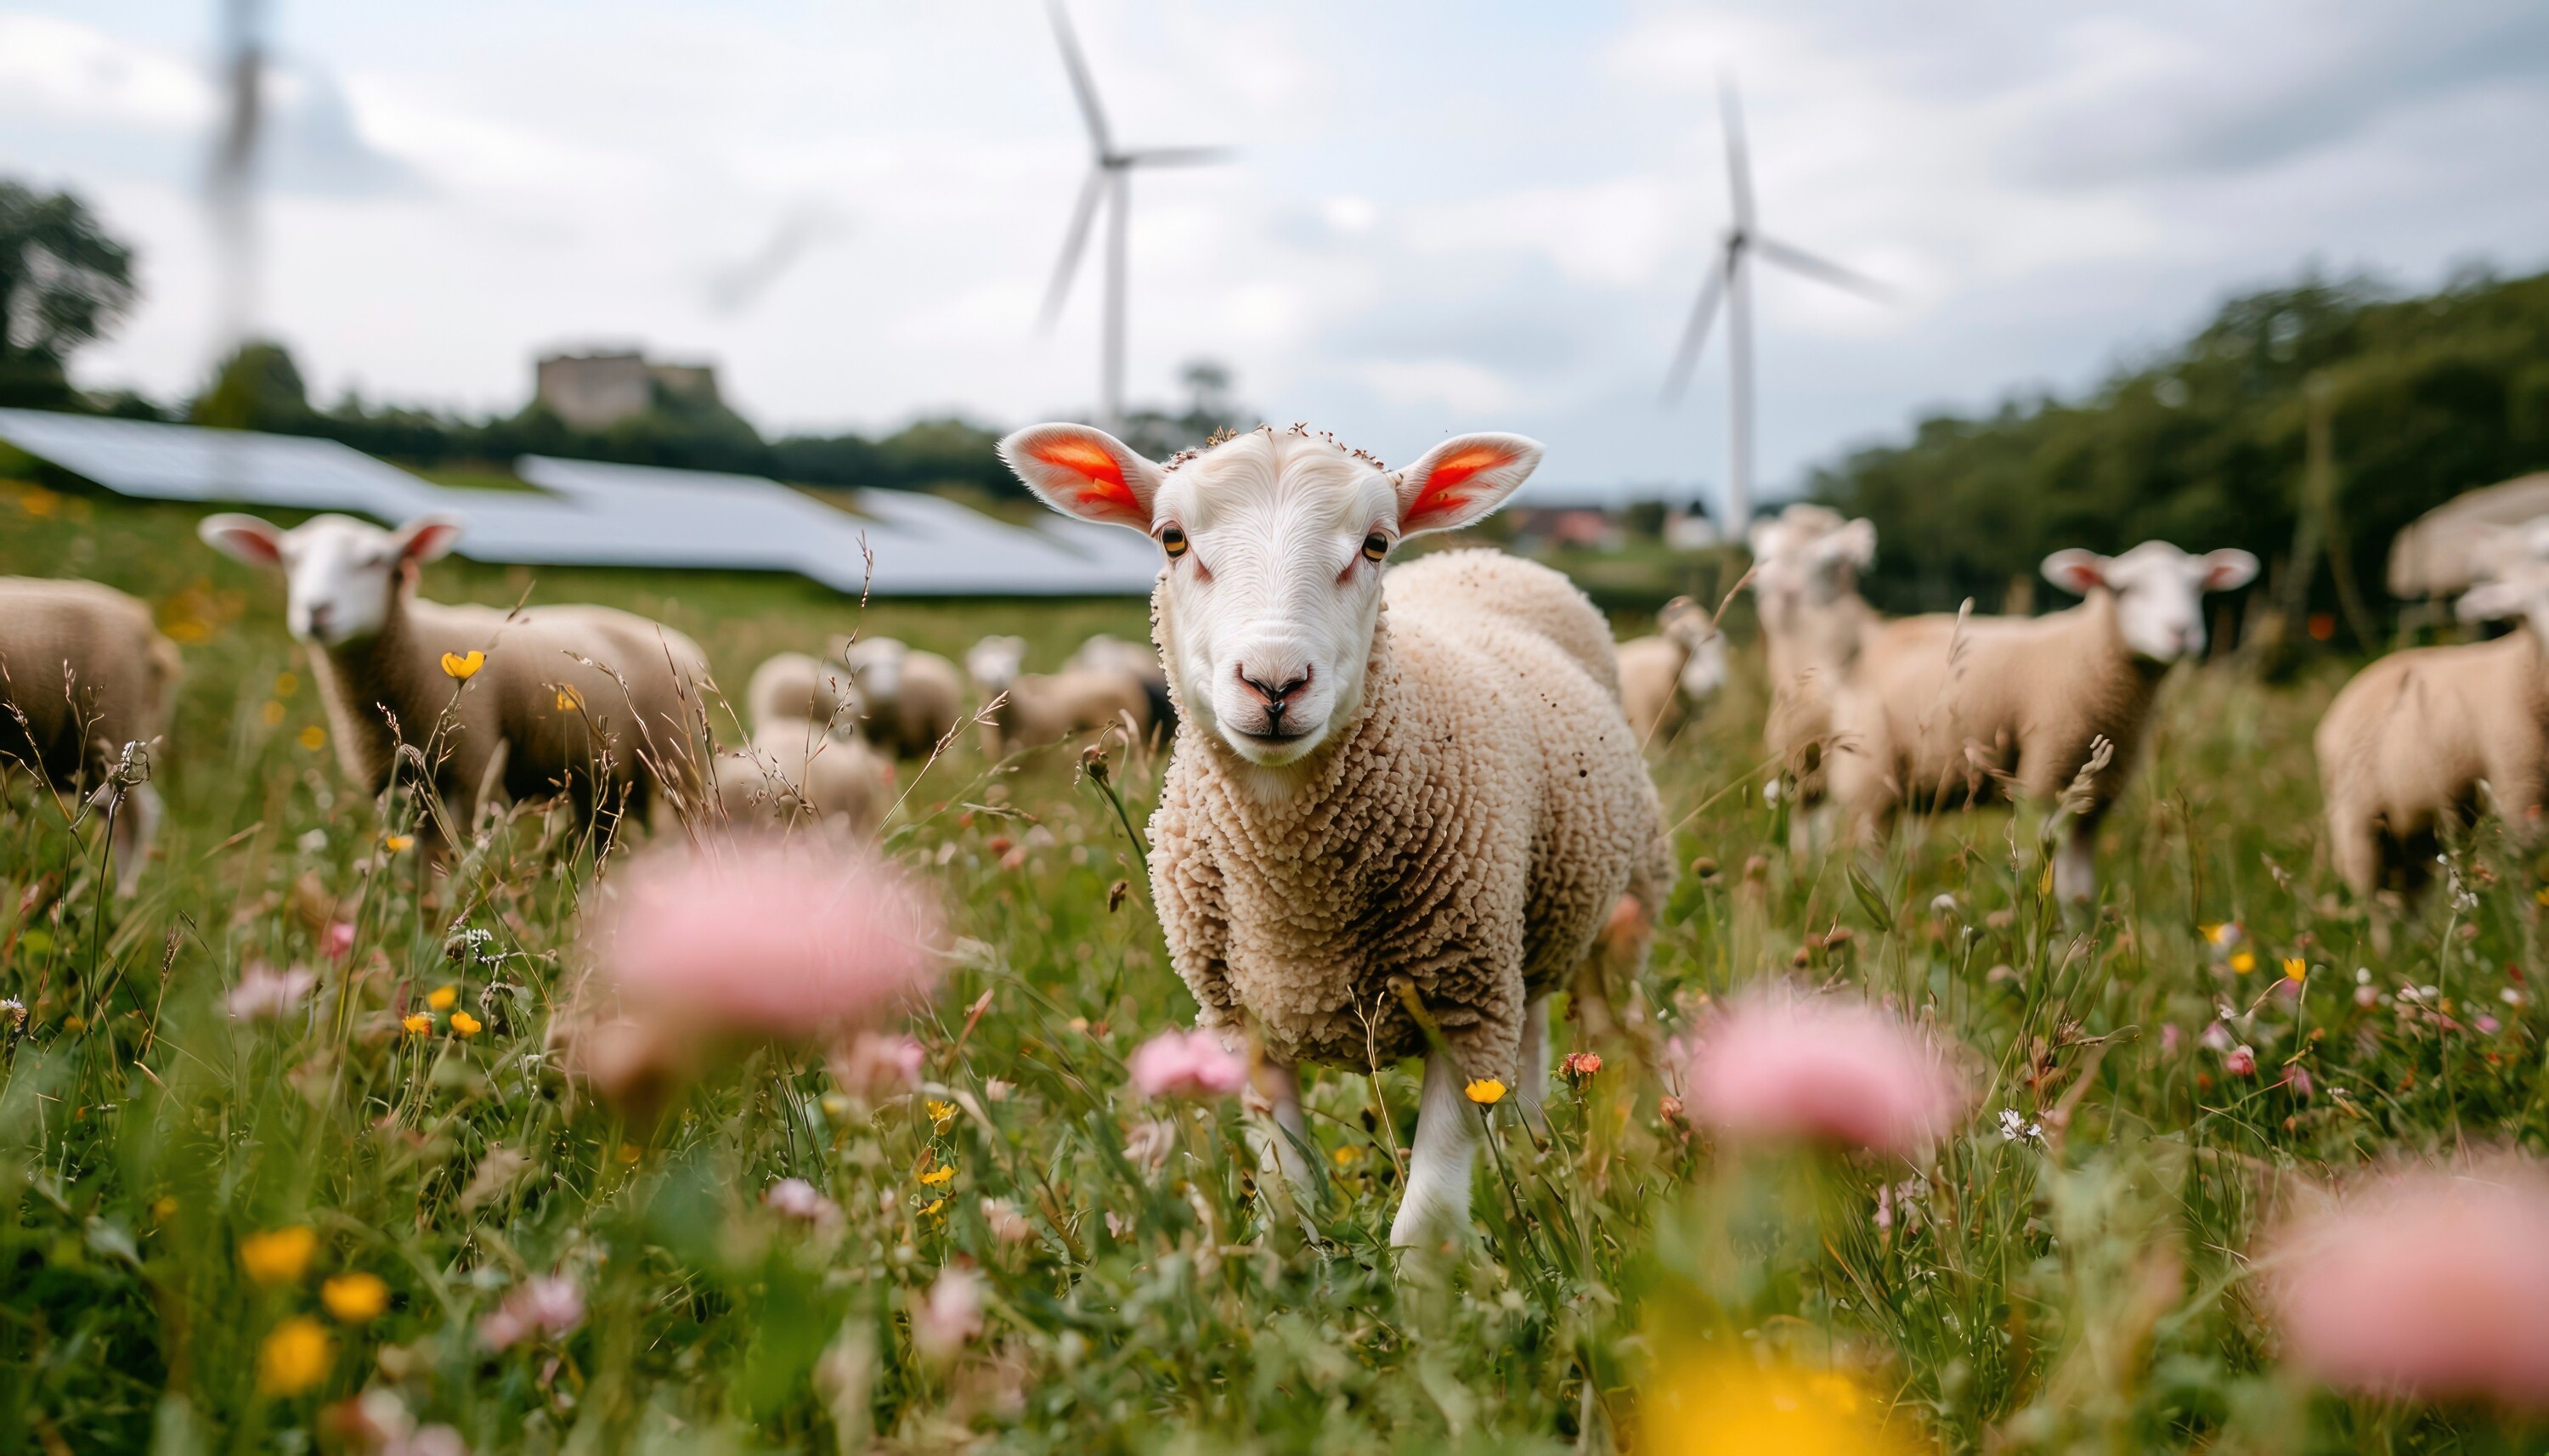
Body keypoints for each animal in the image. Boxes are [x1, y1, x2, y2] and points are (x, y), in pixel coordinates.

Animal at [198, 512, 710, 849]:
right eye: (290, 560)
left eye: (375, 561)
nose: (316, 611)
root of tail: (684, 644)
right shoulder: (392, 787)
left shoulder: (471, 775)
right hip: (612, 777)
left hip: (678, 766)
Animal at [1000, 421, 1672, 1248]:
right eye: (1172, 539)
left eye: (1376, 544)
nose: (1274, 684)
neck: (1297, 902)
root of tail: (1480, 557)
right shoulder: (1241, 1023)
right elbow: (1288, 1187)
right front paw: (1297, 1262)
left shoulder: (1468, 1008)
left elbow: (1427, 1219)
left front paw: (1425, 1281)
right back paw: (1530, 1143)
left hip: (1613, 920)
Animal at [1824, 541, 2258, 905]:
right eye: (2123, 589)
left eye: (2199, 585)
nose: (2182, 632)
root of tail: (1883, 635)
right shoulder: (2046, 778)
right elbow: (2045, 877)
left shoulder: (2094, 797)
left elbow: (2079, 893)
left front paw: (2080, 944)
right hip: (1869, 778)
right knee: (1868, 855)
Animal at [2316, 558, 2549, 900]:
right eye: (2526, 606)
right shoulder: (2521, 787)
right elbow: (2529, 870)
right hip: (2356, 820)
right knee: (2370, 895)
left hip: (2412, 823)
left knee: (2410, 889)